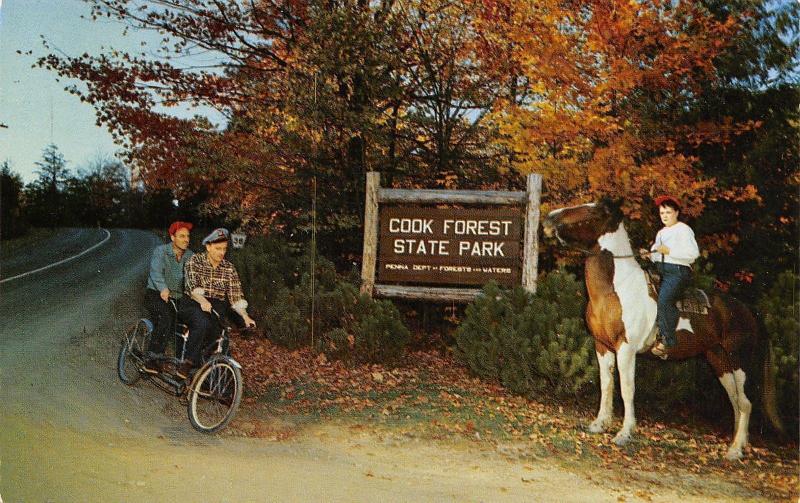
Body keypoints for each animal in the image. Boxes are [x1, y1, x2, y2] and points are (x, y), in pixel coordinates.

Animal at [540, 199, 784, 458]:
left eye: (591, 212)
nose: (549, 219)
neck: (615, 288)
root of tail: (749, 311)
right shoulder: (602, 346)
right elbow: (606, 384)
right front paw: (599, 424)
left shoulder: (625, 349)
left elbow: (627, 389)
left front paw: (624, 433)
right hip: (719, 361)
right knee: (735, 402)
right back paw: (738, 443)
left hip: (739, 361)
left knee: (746, 403)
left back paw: (735, 451)